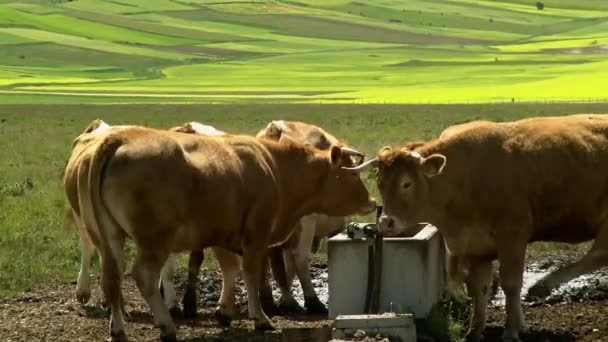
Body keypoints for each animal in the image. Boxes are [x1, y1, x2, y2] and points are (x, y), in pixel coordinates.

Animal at [78, 126, 372, 342]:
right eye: (352, 175)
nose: (371, 202)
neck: (274, 167)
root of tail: (117, 138)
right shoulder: (256, 235)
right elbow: (250, 273)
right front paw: (259, 317)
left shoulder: (223, 234)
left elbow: (230, 269)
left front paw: (225, 311)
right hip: (154, 241)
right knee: (144, 277)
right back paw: (166, 325)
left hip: (109, 238)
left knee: (112, 279)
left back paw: (118, 330)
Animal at [350, 115, 608, 342]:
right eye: (380, 183)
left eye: (407, 183)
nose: (386, 222)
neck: (466, 176)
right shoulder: (474, 245)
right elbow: (479, 288)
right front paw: (475, 330)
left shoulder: (512, 235)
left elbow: (511, 284)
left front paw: (512, 330)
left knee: (598, 254)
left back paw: (542, 286)